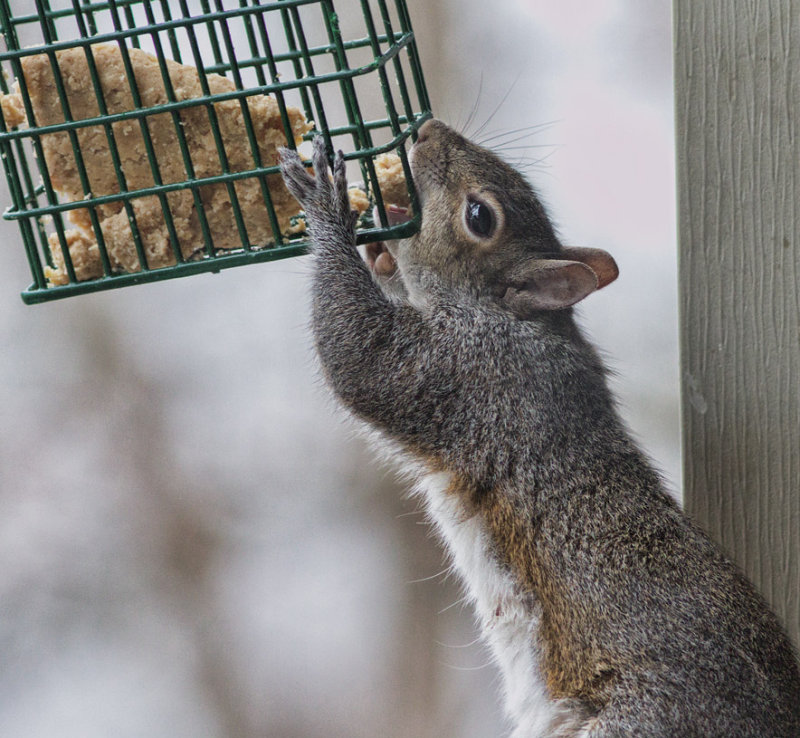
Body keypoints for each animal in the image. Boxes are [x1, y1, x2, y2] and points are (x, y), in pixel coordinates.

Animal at [276, 118, 800, 732]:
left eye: (480, 216)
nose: (426, 129)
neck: (519, 318)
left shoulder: (472, 375)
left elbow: (360, 357)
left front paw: (326, 206)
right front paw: (376, 249)